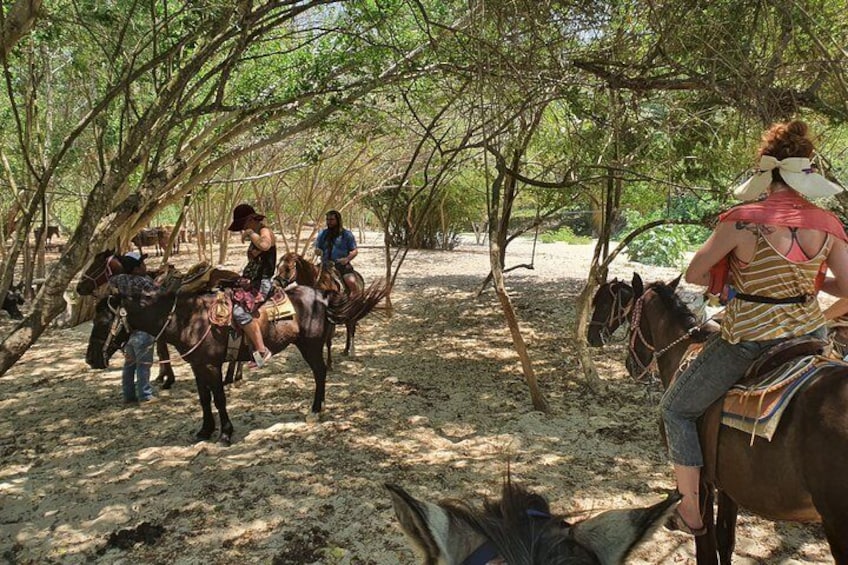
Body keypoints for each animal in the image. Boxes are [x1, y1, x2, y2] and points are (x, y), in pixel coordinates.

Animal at [84, 276, 390, 446]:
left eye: (103, 320)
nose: (91, 359)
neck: (188, 318)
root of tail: (322, 295)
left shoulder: (211, 366)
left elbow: (219, 398)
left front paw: (225, 433)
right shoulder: (197, 366)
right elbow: (204, 399)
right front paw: (205, 430)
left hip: (311, 346)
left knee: (320, 373)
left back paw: (316, 410)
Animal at [588, 272, 848, 560]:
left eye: (603, 302)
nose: (591, 336)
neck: (685, 348)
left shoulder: (702, 481)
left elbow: (706, 548)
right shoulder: (727, 484)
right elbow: (725, 540)